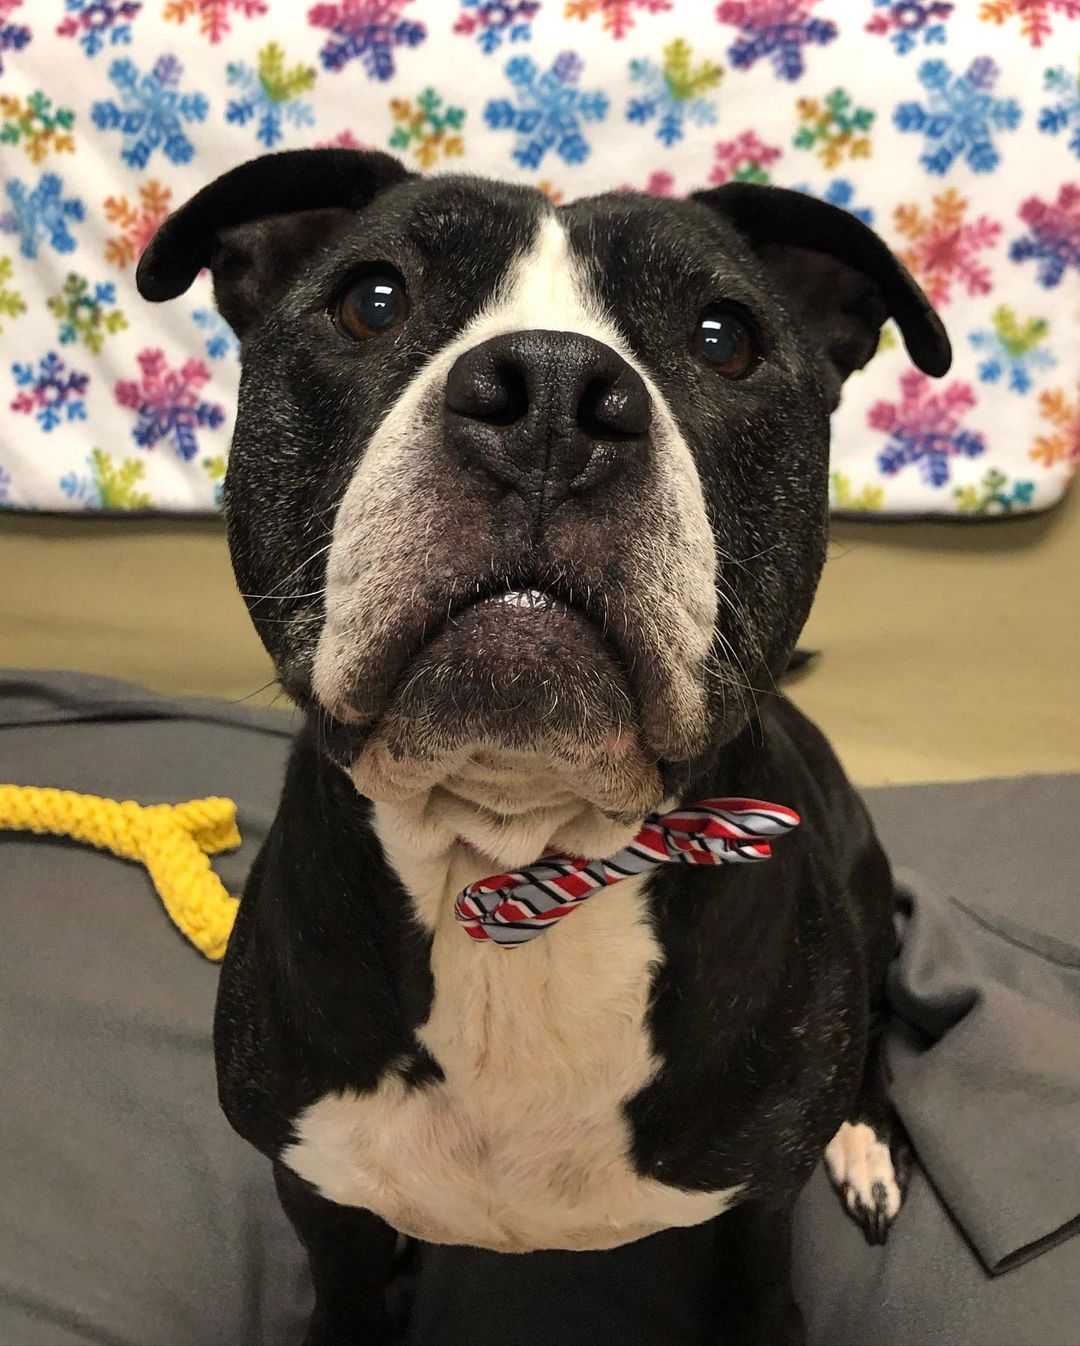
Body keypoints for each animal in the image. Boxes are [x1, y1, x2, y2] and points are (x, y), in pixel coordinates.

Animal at [136, 147, 953, 1346]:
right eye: (371, 300)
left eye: (724, 336)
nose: (553, 398)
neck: (514, 854)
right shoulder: (319, 1195)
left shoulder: (758, 1212)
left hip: (863, 890)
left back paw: (866, 1140)